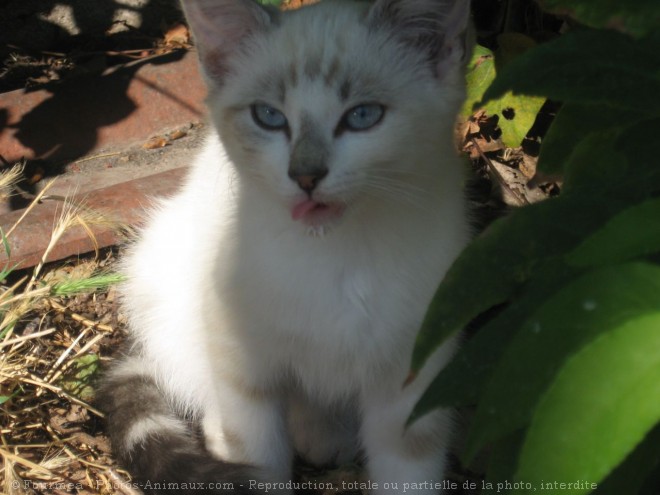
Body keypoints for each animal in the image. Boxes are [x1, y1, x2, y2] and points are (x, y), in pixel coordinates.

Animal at [98, 0, 472, 494]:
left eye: (363, 115)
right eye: (269, 117)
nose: (306, 175)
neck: (334, 253)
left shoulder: (414, 365)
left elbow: (409, 467)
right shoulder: (240, 349)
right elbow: (255, 448)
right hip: (162, 285)